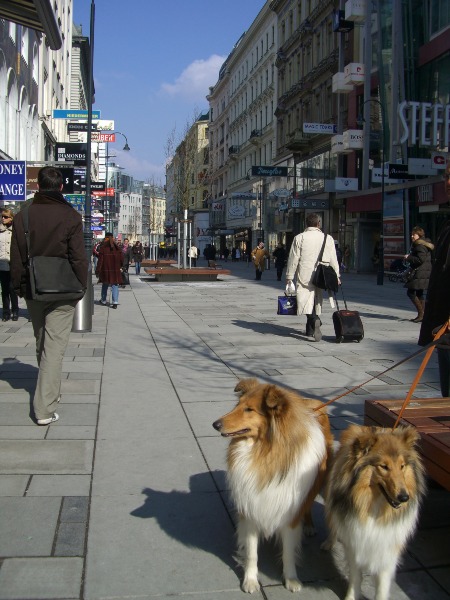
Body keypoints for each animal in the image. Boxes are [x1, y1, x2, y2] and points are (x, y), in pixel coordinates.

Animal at [212, 378, 333, 593]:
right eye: (238, 405)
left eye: (249, 409)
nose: (215, 424)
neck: (264, 450)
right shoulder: (250, 507)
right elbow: (252, 552)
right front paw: (250, 580)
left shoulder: (290, 512)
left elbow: (288, 552)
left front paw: (291, 579)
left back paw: (309, 526)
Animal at [324, 425, 426, 600]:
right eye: (383, 466)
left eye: (402, 466)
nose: (404, 497)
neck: (375, 506)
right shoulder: (355, 544)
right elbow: (355, 577)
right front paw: (351, 597)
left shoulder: (387, 548)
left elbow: (382, 584)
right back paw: (329, 542)